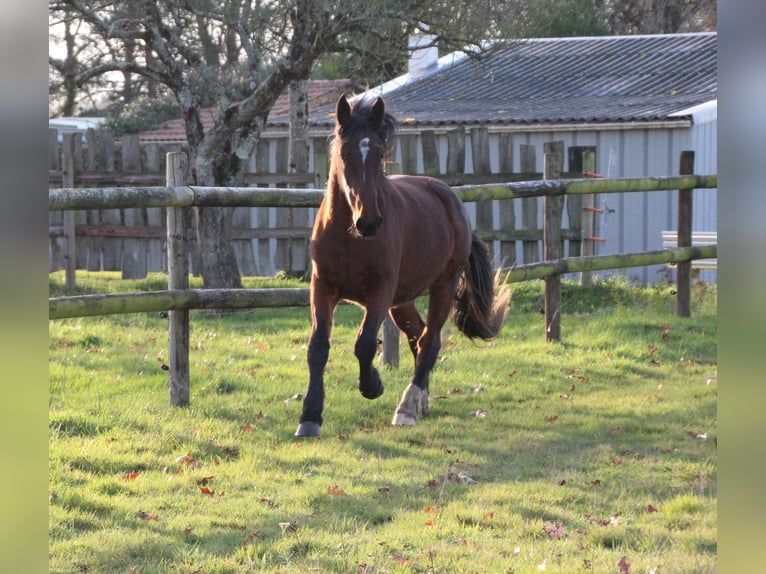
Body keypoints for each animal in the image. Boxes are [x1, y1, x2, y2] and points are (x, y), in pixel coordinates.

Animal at [295, 95, 510, 437]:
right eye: (345, 153)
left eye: (380, 155)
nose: (369, 222)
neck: (349, 238)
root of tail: (450, 199)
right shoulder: (322, 289)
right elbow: (318, 348)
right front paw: (310, 418)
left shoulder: (380, 292)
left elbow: (365, 343)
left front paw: (373, 386)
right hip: (403, 300)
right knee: (418, 337)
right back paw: (422, 402)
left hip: (442, 286)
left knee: (430, 341)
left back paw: (407, 408)